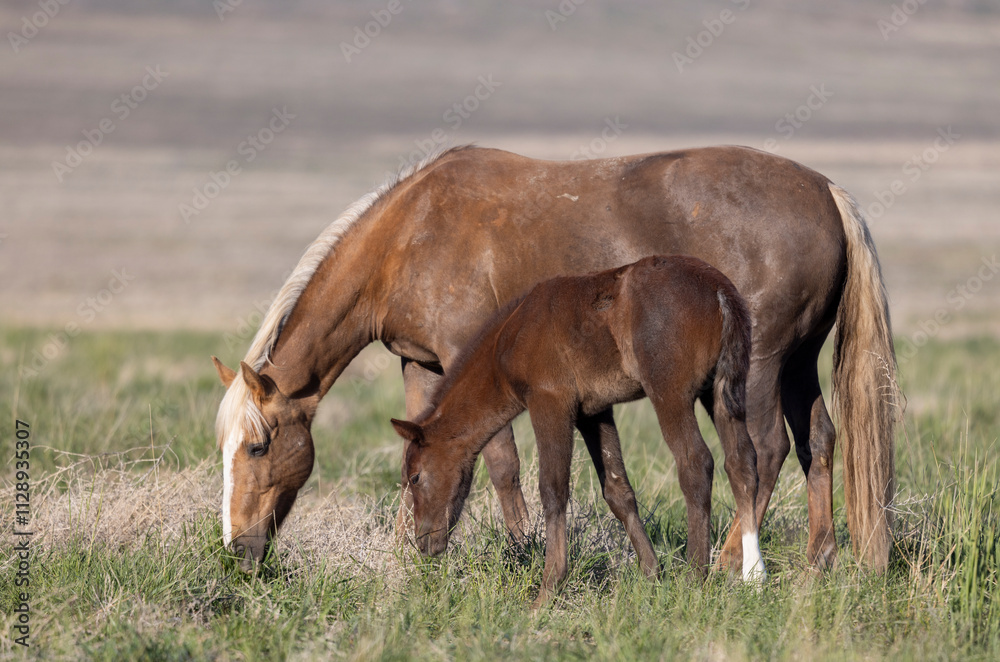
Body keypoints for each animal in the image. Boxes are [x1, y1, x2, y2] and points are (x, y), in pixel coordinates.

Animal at [390, 255, 766, 606]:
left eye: (416, 477)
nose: (423, 543)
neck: (509, 337)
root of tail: (719, 291)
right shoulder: (594, 411)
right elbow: (617, 490)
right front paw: (651, 575)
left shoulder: (550, 402)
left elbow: (553, 489)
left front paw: (547, 590)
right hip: (719, 393)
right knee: (743, 462)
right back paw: (755, 575)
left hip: (670, 393)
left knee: (696, 464)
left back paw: (695, 577)